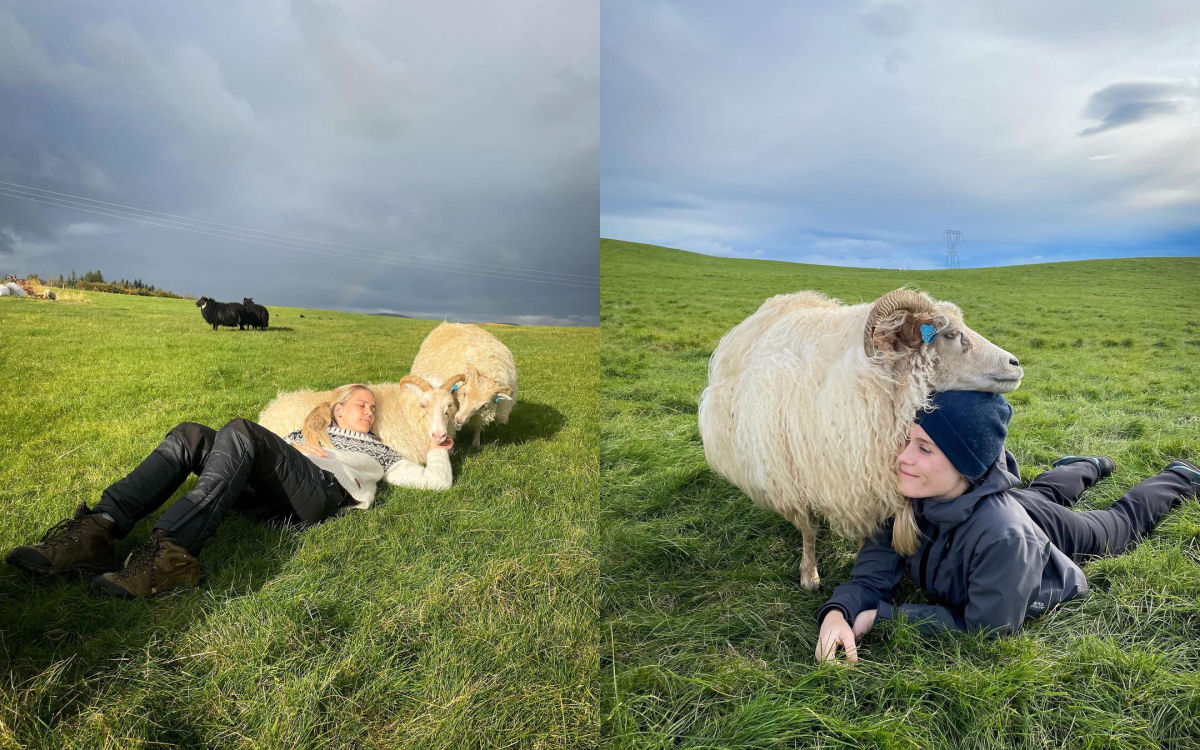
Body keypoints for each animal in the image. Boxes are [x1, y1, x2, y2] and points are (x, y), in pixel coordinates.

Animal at [700, 289, 1027, 588]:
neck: (874, 382)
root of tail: (783, 299)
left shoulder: (867, 487)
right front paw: (809, 575)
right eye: (949, 334)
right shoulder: (794, 480)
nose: (1015, 363)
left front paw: (858, 560)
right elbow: (809, 528)